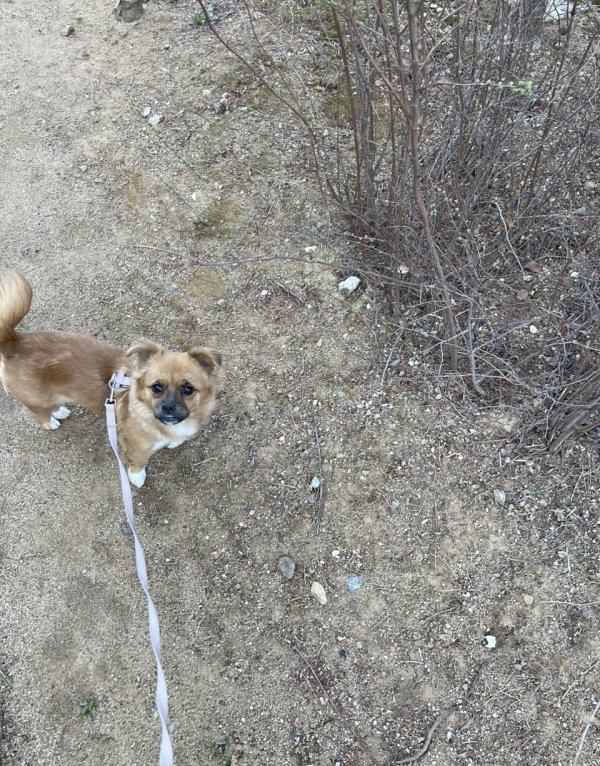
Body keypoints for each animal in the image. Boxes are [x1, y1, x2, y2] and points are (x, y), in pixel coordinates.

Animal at [0, 272, 223, 488]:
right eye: (156, 387)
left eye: (188, 389)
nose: (168, 407)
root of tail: (15, 341)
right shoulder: (137, 447)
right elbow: (138, 463)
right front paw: (137, 476)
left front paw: (175, 442)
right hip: (36, 400)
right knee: (39, 413)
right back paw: (51, 421)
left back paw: (59, 411)